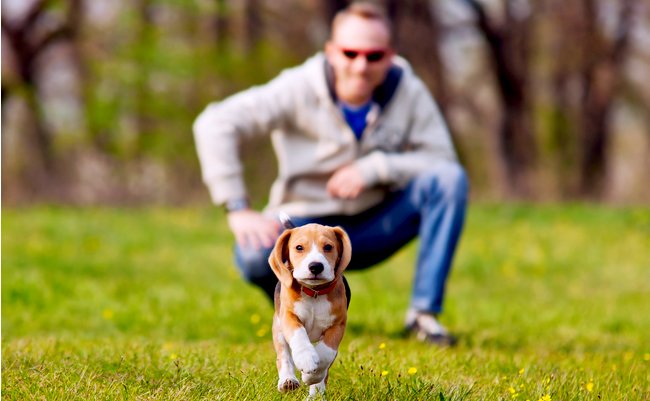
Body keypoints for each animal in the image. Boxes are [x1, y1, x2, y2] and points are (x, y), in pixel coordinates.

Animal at [268, 222, 352, 396]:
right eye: (299, 247)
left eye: (328, 247)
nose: (315, 266)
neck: (314, 293)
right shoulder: (288, 316)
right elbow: (298, 334)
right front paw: (306, 358)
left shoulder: (338, 325)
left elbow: (326, 352)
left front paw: (312, 376)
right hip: (278, 329)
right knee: (283, 356)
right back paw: (288, 381)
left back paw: (316, 394)